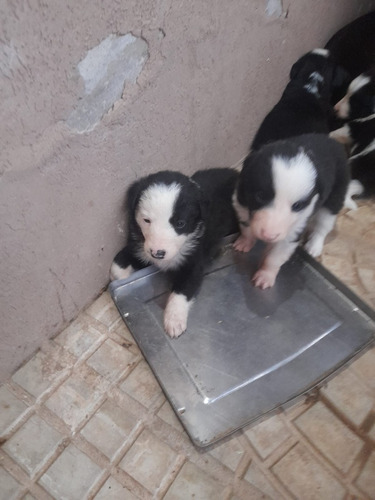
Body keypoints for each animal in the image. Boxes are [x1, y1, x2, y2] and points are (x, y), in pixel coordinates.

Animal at [110, 170, 239, 338]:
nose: (157, 253)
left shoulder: (193, 263)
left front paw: (174, 320)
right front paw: (123, 277)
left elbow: (181, 291)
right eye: (146, 220)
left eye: (180, 223)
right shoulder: (139, 247)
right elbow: (117, 266)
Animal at [234, 133, 352, 290]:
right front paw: (244, 242)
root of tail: (332, 141)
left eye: (297, 206)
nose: (269, 236)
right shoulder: (241, 202)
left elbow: (274, 258)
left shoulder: (293, 232)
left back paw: (314, 246)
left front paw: (265, 276)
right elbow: (246, 227)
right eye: (260, 196)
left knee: (323, 225)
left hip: (333, 200)